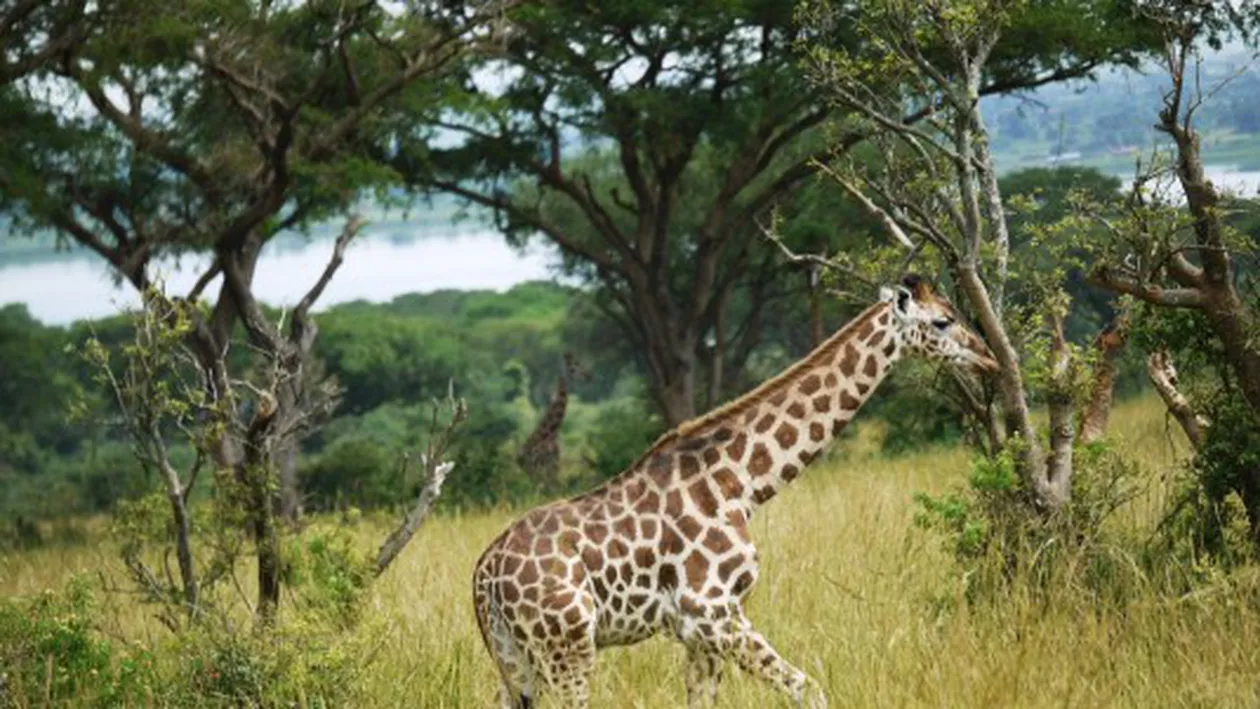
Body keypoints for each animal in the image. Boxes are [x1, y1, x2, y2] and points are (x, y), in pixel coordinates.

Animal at [518, 352, 586, 489]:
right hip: (535, 471)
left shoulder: (554, 463)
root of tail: (519, 457)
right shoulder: (548, 465)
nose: (589, 376)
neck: (553, 430)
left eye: (580, 362)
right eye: (573, 366)